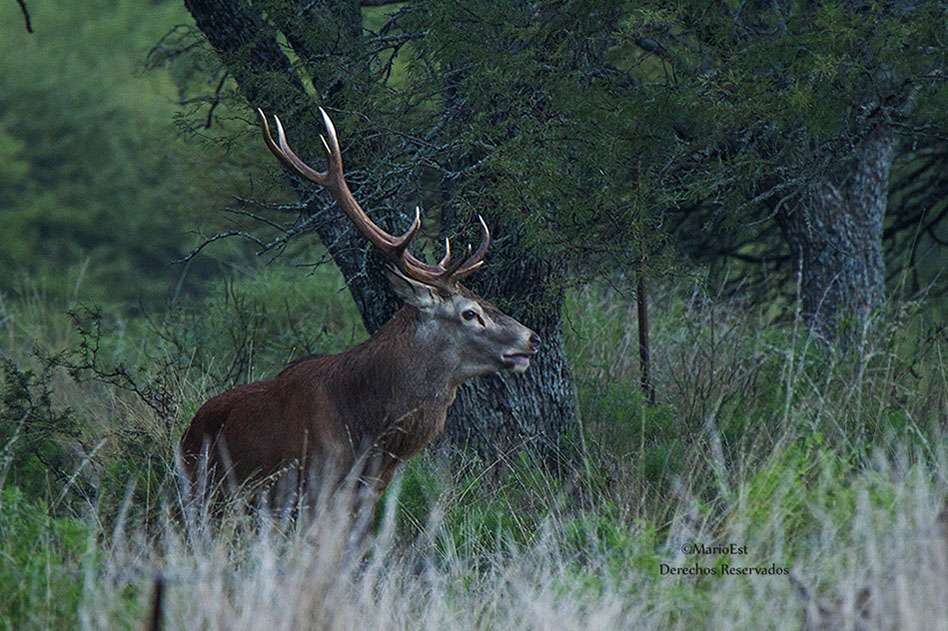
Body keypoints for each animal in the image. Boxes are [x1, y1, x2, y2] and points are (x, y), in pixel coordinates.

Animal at [179, 107, 540, 513]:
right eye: (469, 313)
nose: (533, 337)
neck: (369, 429)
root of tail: (186, 434)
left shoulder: (369, 493)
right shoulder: (312, 486)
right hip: (201, 493)